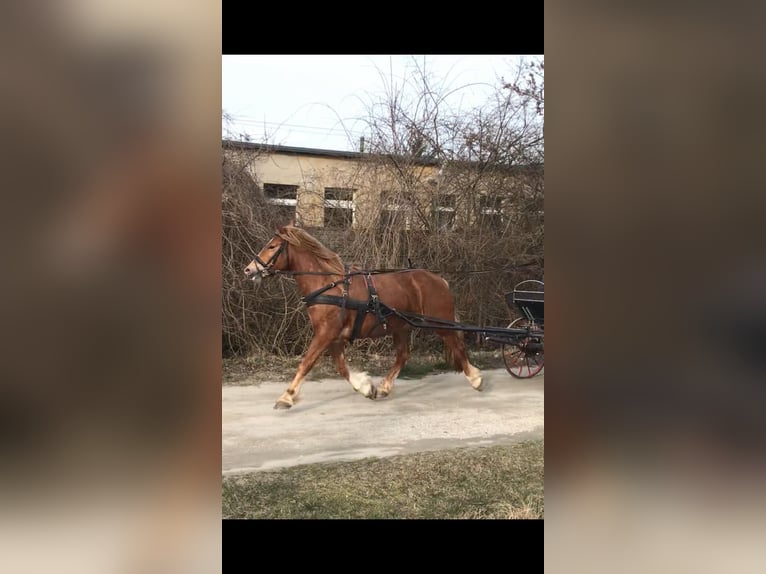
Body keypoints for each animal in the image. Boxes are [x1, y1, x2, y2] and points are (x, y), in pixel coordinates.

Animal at [246, 225, 486, 410]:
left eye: (272, 246)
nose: (249, 269)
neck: (329, 285)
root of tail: (438, 280)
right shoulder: (334, 337)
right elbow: (341, 367)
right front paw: (365, 386)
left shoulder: (325, 333)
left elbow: (306, 363)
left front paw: (286, 397)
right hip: (401, 327)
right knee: (403, 355)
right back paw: (384, 387)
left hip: (439, 323)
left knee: (457, 346)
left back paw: (475, 378)